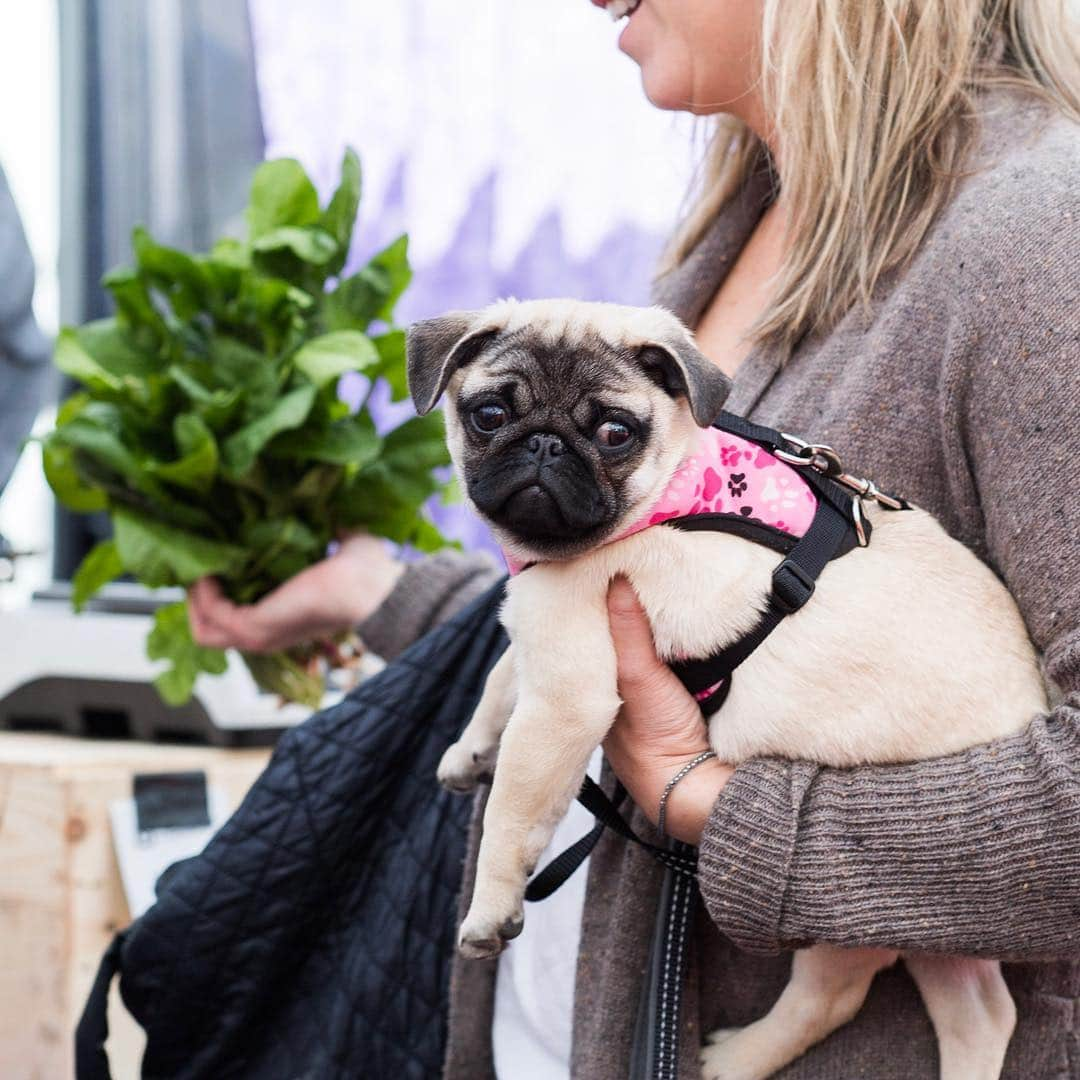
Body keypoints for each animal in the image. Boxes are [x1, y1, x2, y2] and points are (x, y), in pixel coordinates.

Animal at [406, 298, 1045, 1080]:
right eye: (490, 414)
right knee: (979, 1011)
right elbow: (501, 678)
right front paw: (469, 751)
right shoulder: (538, 622)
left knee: (833, 994)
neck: (672, 488)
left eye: (614, 433)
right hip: (934, 932)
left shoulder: (565, 688)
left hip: (842, 907)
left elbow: (511, 812)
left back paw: (737, 1058)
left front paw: (489, 909)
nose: (545, 445)